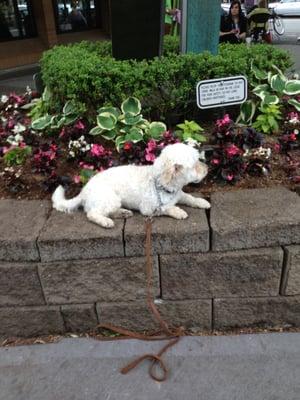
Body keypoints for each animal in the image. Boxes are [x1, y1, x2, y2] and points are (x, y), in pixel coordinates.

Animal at [51, 142, 210, 227]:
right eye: (195, 165)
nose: (207, 168)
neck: (160, 185)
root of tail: (83, 192)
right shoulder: (149, 209)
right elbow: (166, 208)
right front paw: (178, 211)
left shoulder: (178, 194)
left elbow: (189, 197)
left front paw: (201, 202)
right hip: (110, 198)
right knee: (92, 213)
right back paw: (105, 221)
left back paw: (122, 213)